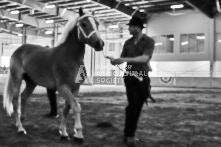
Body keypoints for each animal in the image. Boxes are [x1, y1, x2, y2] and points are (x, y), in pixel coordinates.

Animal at [2, 7, 104, 142]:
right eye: (83, 24)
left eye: (97, 23)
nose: (100, 43)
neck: (69, 58)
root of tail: (18, 50)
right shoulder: (63, 88)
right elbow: (76, 107)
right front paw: (78, 134)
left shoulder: (75, 88)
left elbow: (67, 109)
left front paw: (63, 132)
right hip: (17, 79)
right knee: (15, 100)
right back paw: (20, 128)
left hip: (31, 82)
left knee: (23, 97)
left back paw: (22, 120)